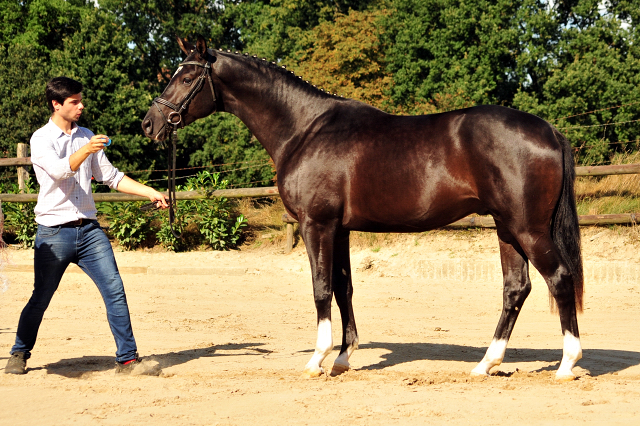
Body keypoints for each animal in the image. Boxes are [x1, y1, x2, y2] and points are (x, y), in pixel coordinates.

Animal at [144, 35, 584, 382]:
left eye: (187, 77)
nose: (150, 124)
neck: (305, 130)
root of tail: (550, 130)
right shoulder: (339, 229)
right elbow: (343, 289)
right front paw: (342, 358)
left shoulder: (316, 225)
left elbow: (321, 288)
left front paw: (317, 360)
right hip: (507, 229)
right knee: (516, 289)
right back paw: (485, 365)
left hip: (527, 228)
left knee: (560, 279)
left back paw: (567, 364)